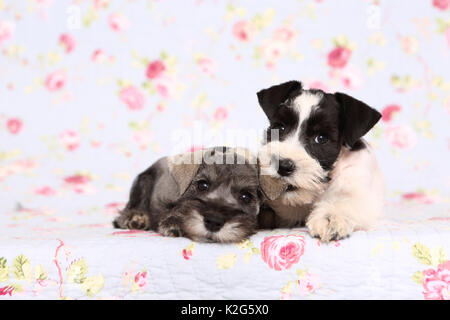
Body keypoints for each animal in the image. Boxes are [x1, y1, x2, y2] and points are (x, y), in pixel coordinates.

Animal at [113, 147, 274, 242]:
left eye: (245, 196)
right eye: (202, 185)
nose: (213, 221)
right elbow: (175, 208)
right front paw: (173, 223)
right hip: (144, 180)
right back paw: (135, 218)